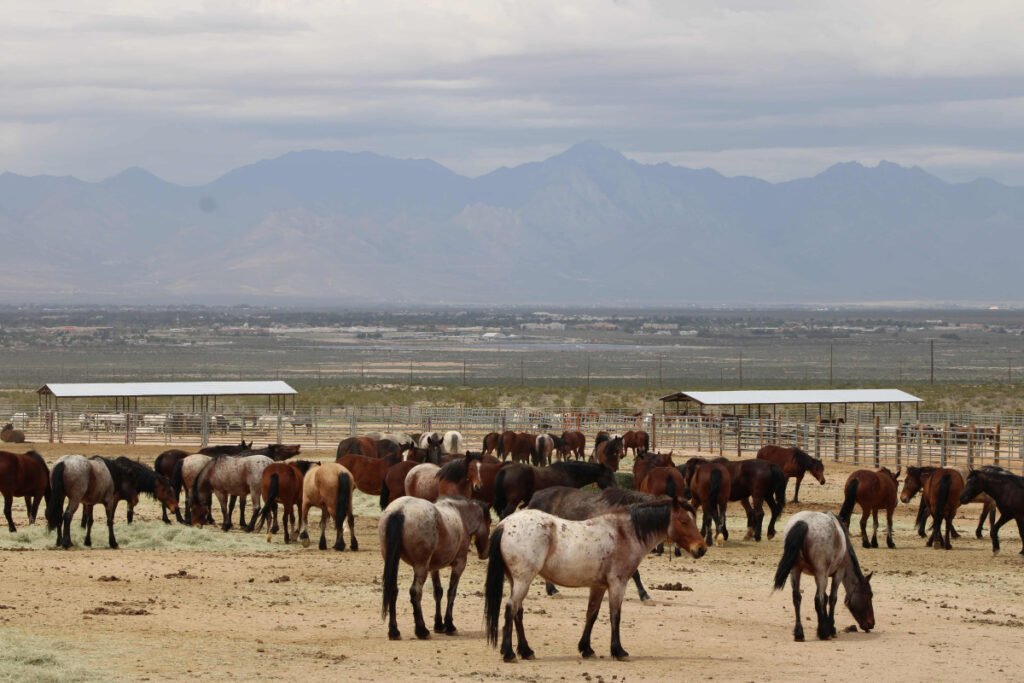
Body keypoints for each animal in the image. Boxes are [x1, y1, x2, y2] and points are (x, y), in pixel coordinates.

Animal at [380, 496, 490, 640]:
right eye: (489, 522)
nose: (485, 553)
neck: (461, 516)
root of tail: (400, 510)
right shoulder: (459, 565)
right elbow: (451, 593)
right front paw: (449, 625)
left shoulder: (433, 568)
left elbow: (438, 592)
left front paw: (439, 625)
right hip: (421, 567)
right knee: (416, 592)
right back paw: (421, 630)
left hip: (395, 562)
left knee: (393, 590)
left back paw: (394, 631)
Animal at [484, 498, 707, 662]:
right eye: (684, 521)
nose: (701, 548)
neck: (624, 533)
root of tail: (504, 524)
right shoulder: (618, 584)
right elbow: (615, 616)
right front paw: (618, 651)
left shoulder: (598, 586)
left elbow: (591, 614)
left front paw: (587, 649)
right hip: (523, 580)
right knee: (510, 609)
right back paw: (509, 653)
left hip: (517, 581)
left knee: (518, 612)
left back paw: (526, 651)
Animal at [772, 511, 875, 641]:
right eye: (869, 595)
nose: (871, 624)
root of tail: (804, 523)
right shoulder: (837, 574)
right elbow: (831, 599)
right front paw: (830, 628)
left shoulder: (820, 575)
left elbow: (825, 598)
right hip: (820, 574)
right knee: (817, 599)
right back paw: (823, 633)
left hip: (796, 571)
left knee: (797, 598)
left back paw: (799, 633)